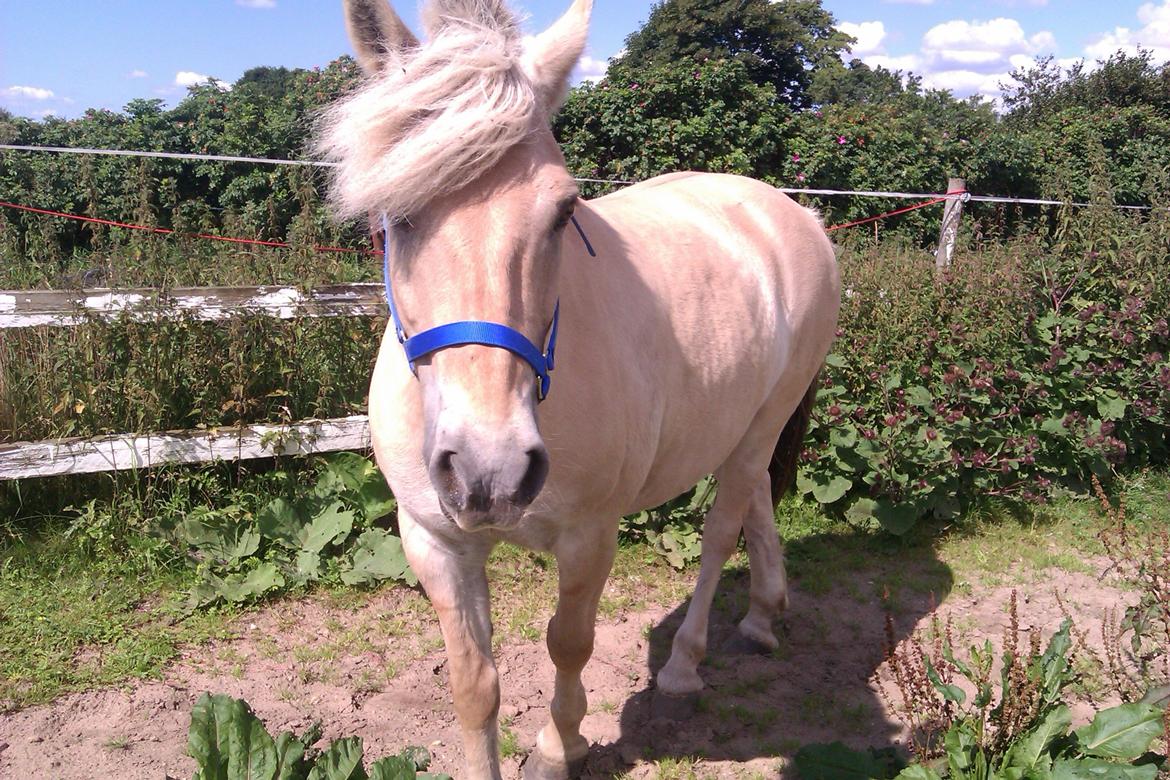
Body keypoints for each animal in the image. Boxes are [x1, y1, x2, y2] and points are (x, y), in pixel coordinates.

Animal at [315, 0, 837, 776]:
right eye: (397, 216)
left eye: (563, 211)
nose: (490, 470)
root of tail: (795, 214)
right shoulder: (435, 541)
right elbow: (473, 684)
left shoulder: (590, 537)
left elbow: (568, 642)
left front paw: (560, 746)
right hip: (739, 426)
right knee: (758, 502)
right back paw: (762, 617)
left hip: (760, 425)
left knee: (723, 531)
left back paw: (685, 664)